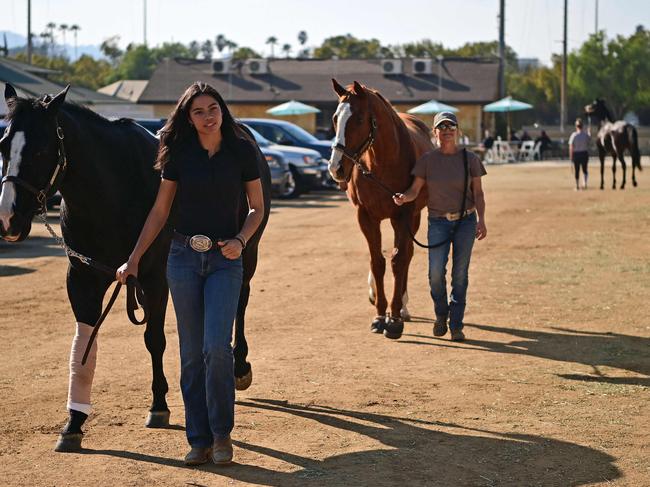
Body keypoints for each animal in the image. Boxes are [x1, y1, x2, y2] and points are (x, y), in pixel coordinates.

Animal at [0, 83, 268, 450]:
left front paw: (159, 406)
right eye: (2, 146)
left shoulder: (156, 278)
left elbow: (154, 339)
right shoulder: (82, 277)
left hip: (246, 253)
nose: (8, 219)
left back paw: (239, 367)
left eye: (41, 150)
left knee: (239, 301)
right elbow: (84, 345)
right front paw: (74, 422)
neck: (112, 192)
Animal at [330, 79, 430, 340]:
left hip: (413, 218)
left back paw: (403, 306)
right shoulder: (366, 216)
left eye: (359, 119)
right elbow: (377, 261)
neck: (382, 164)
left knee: (407, 255)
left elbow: (398, 260)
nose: (336, 168)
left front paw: (393, 318)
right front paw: (379, 315)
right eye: (335, 118)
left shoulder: (404, 214)